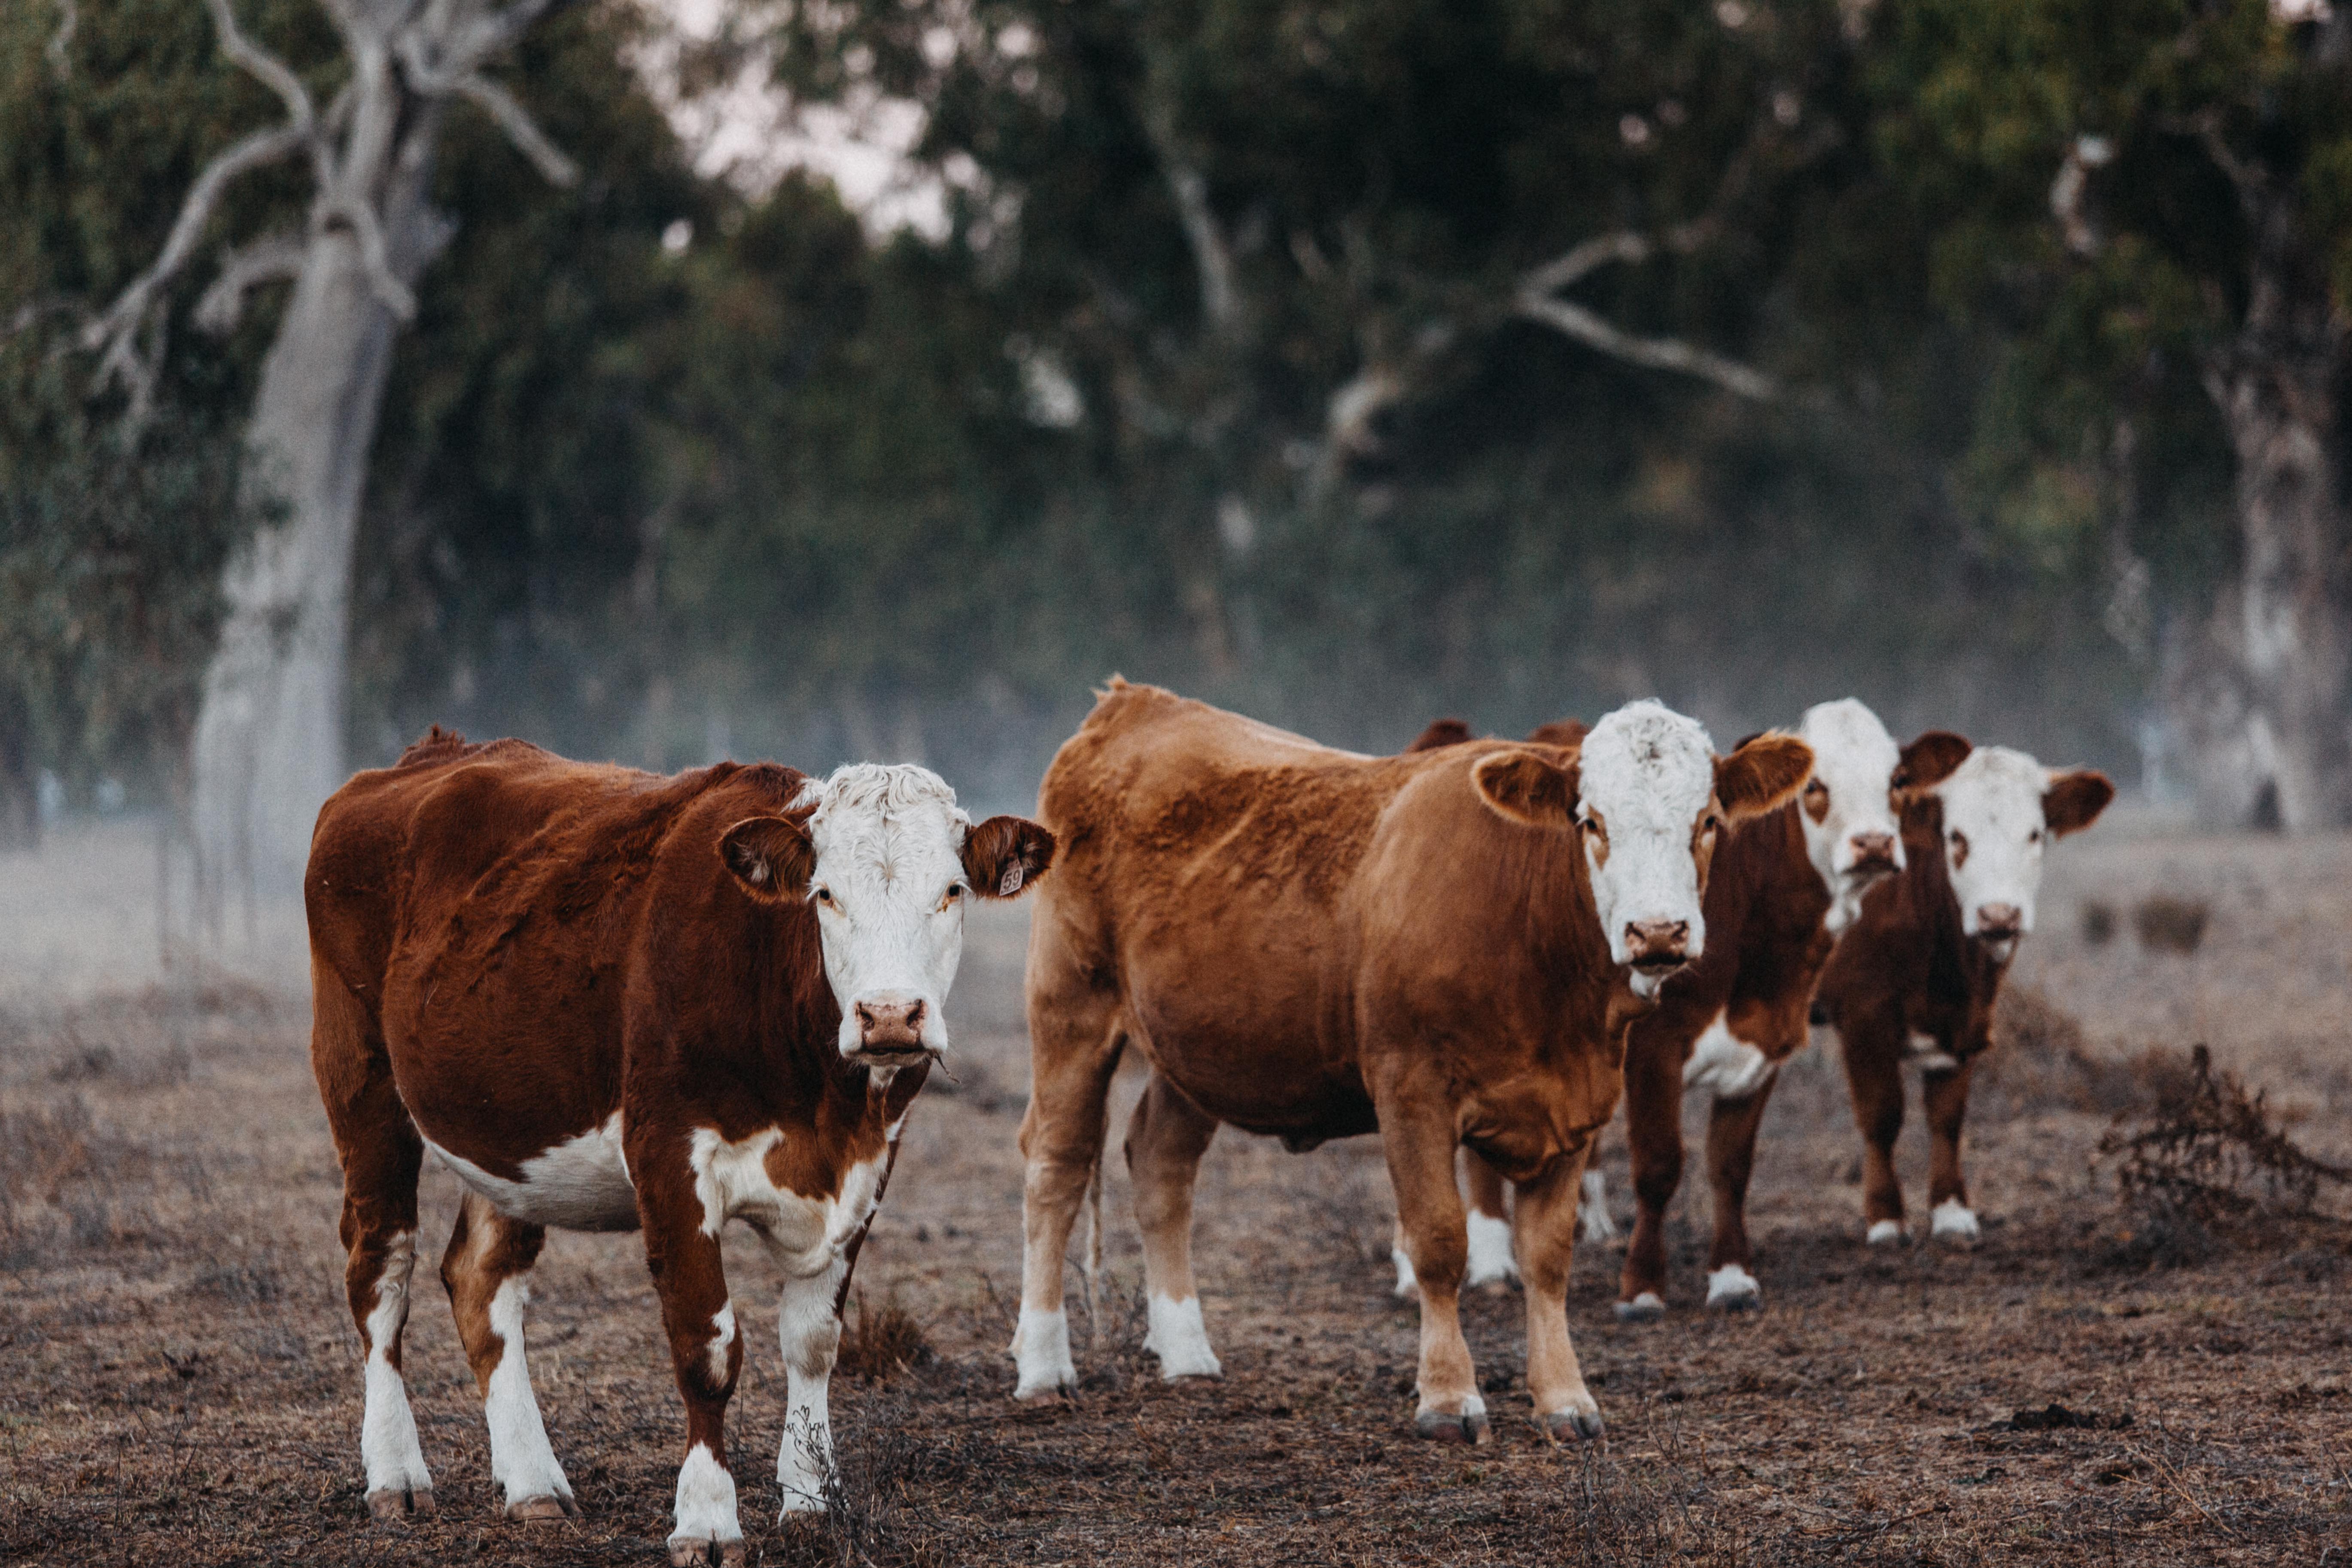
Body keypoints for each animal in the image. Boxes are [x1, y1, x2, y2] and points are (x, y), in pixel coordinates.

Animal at [304, 731, 1052, 1565]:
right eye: (825, 893)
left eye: (952, 890)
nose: (890, 1013)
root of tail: (421, 758)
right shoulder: (669, 1158)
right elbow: (708, 1348)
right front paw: (707, 1518)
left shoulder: (867, 1166)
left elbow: (814, 1342)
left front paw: (809, 1502)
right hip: (361, 1078)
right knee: (380, 1269)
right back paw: (395, 1473)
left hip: (505, 1128)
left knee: (479, 1275)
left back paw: (532, 1484)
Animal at [1007, 680, 1811, 1442]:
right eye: (1591, 822)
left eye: (1707, 822)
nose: (1658, 931)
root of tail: (1131, 702)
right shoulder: (1410, 1089)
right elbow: (1438, 1241)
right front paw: (1448, 1396)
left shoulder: (1579, 1104)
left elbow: (1547, 1257)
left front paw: (1564, 1398)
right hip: (1071, 1006)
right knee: (1056, 1168)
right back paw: (1044, 1365)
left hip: (1197, 1046)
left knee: (1161, 1164)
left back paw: (1186, 1352)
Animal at [1812, 741, 2113, 1245]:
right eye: (1955, 837)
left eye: (2034, 835)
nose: (1999, 915)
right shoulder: (1861, 1015)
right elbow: (1881, 1115)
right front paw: (1885, 1218)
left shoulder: (1960, 1022)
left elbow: (1946, 1118)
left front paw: (1951, 1213)